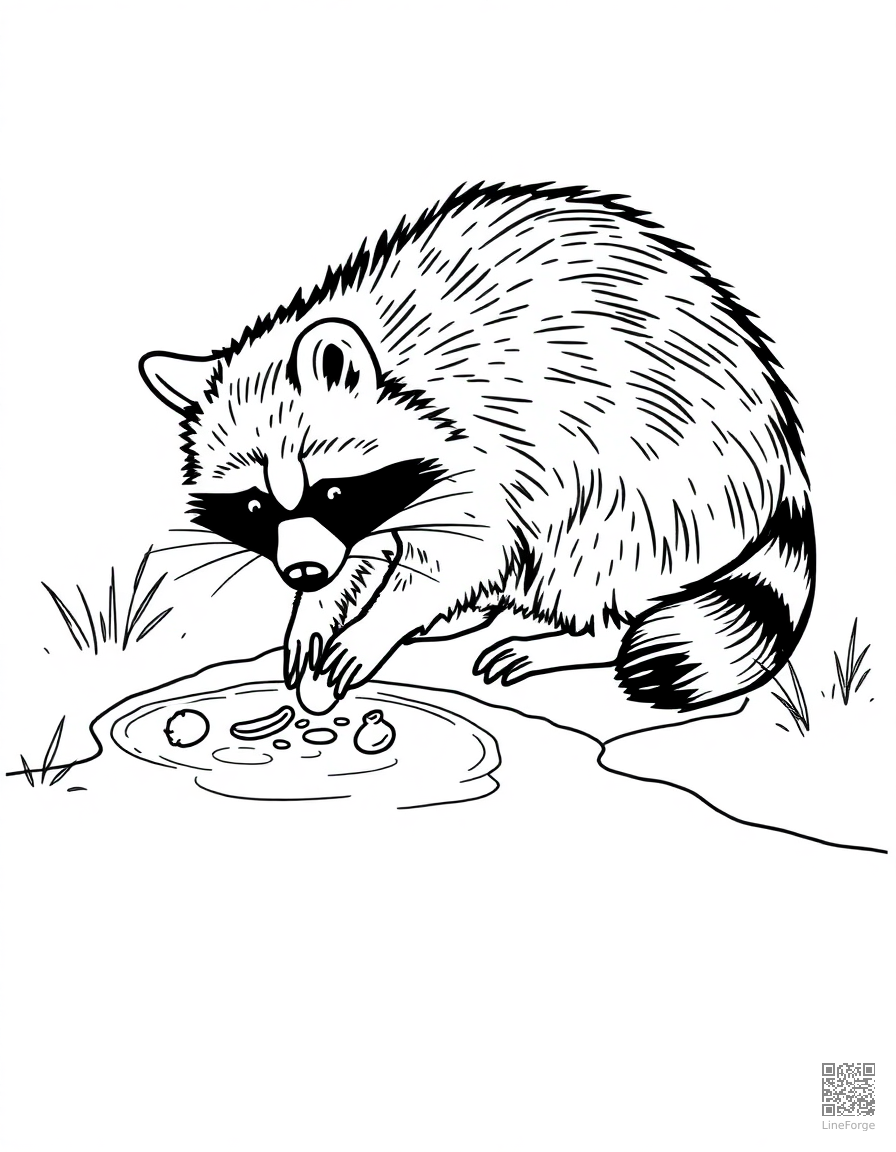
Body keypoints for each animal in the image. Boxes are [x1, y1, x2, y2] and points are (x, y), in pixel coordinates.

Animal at [140, 182, 814, 715]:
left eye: (330, 492)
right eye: (255, 506)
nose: (303, 573)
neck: (396, 366)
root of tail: (784, 459)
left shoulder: (487, 453)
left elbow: (463, 555)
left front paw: (377, 624)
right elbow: (369, 554)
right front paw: (317, 608)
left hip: (655, 488)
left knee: (587, 555)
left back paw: (573, 635)